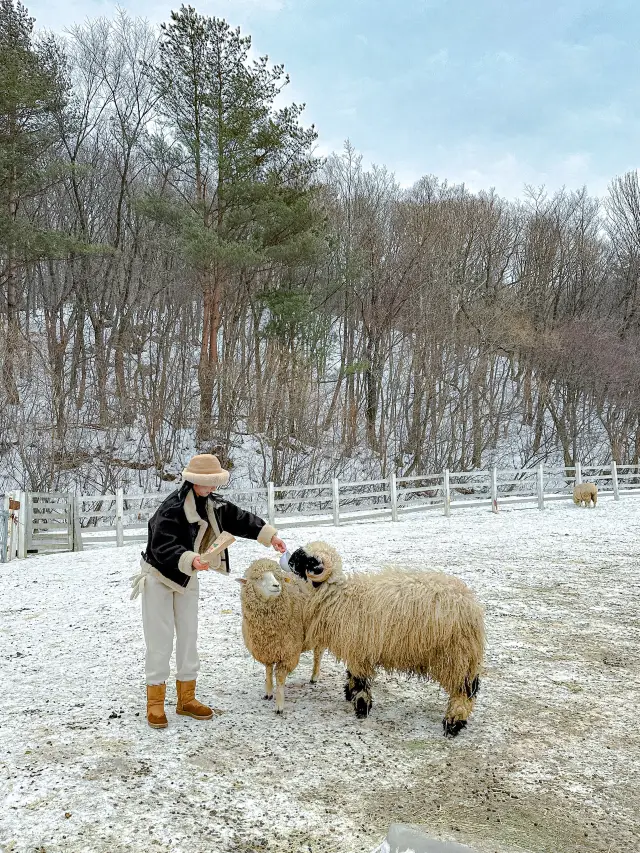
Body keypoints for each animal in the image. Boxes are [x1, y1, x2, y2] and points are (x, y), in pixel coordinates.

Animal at [288, 544, 482, 736]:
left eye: (308, 560)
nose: (289, 561)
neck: (338, 596)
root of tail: (470, 605)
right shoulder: (356, 650)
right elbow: (352, 675)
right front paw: (350, 694)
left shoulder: (360, 651)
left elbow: (360, 681)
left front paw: (361, 708)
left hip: (455, 656)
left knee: (463, 692)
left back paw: (453, 722)